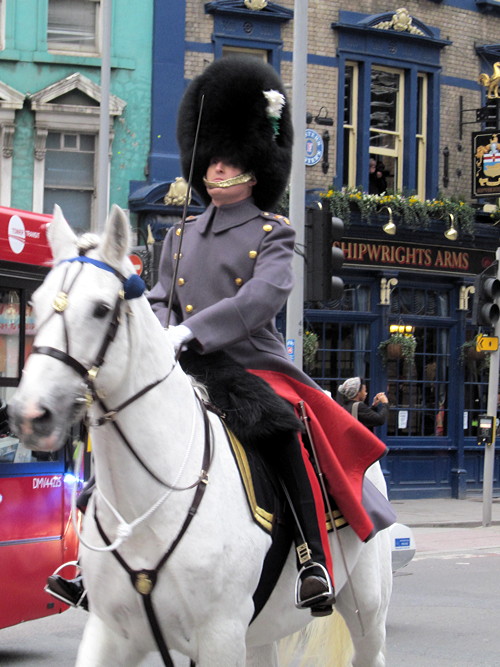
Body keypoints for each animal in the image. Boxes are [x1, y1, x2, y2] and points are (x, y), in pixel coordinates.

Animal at [5, 206, 392, 664]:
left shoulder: (219, 635)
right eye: (35, 303)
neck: (149, 503)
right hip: (259, 634)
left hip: (366, 611)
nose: (30, 414)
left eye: (100, 309)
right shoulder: (111, 633)